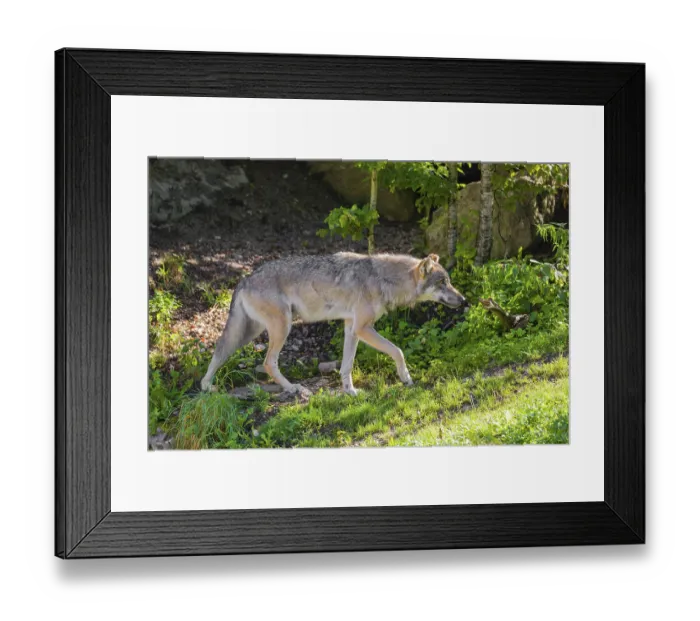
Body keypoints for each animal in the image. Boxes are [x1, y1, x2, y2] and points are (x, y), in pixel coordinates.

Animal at [200, 252, 466, 396]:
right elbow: (398, 351)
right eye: (442, 283)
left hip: (249, 333)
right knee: (268, 363)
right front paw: (406, 378)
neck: (382, 279)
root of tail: (245, 278)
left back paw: (206, 387)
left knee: (219, 351)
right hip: (282, 328)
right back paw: (292, 388)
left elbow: (346, 366)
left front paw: (350, 392)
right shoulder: (363, 328)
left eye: (449, 281)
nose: (464, 300)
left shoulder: (351, 327)